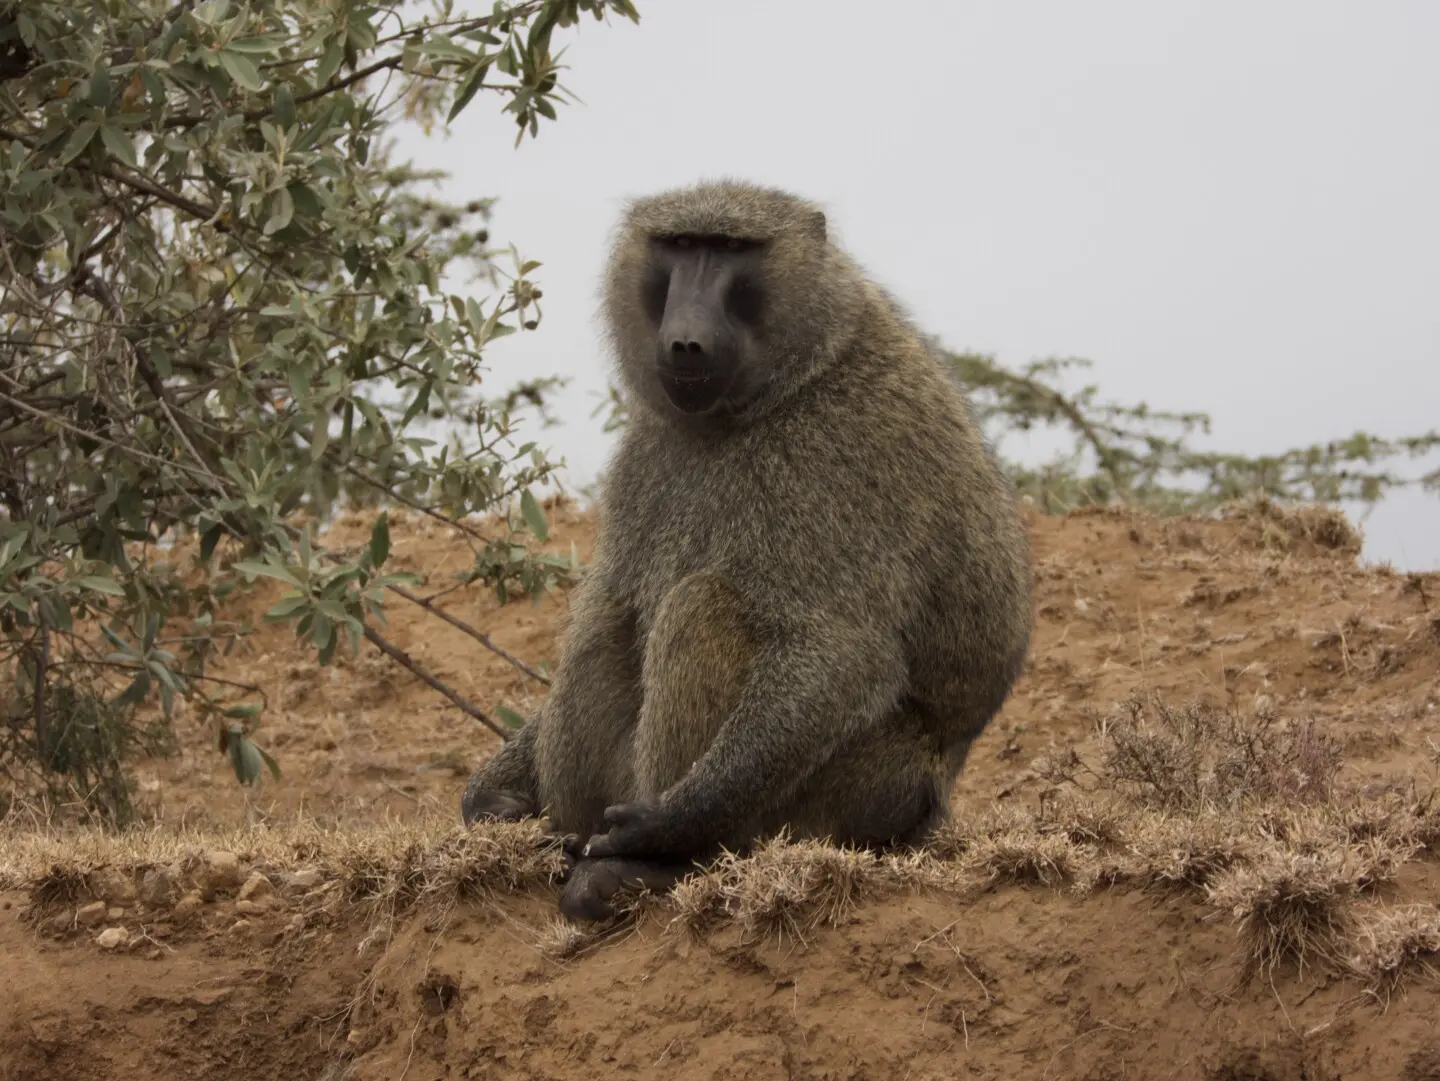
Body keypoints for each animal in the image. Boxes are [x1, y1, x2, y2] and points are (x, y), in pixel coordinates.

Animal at [461, 179, 1034, 922]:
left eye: (733, 250)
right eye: (681, 246)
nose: (685, 339)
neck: (788, 380)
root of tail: (928, 806)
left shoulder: (844, 453)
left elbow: (838, 653)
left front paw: (670, 823)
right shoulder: (650, 448)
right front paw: (492, 795)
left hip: (843, 800)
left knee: (703, 606)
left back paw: (649, 866)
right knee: (608, 616)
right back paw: (568, 842)